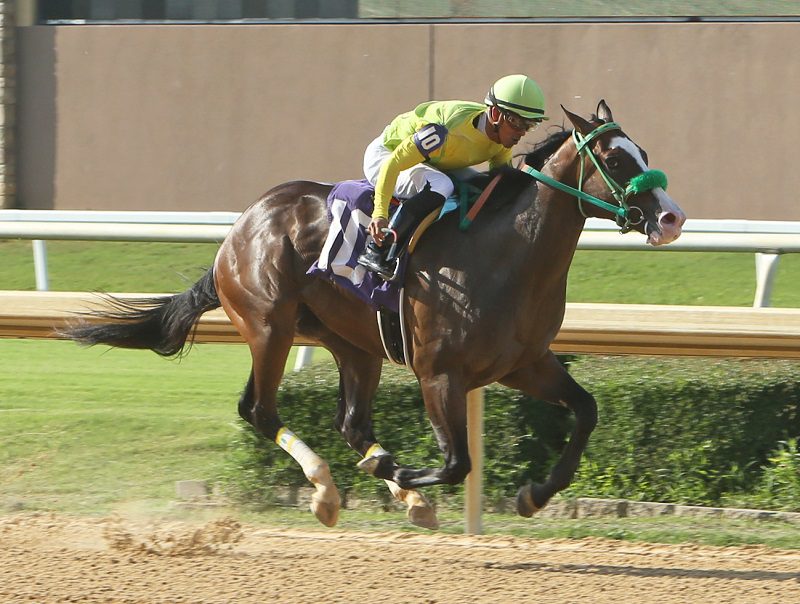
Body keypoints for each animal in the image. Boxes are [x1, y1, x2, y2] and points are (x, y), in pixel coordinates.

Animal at [64, 102, 688, 528]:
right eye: (614, 158)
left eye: (646, 154)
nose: (672, 218)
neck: (507, 254)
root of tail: (242, 226)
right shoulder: (440, 374)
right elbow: (457, 462)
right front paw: (406, 476)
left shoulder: (523, 364)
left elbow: (586, 410)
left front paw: (533, 495)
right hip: (270, 325)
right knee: (258, 410)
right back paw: (328, 492)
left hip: (354, 344)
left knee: (352, 424)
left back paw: (397, 490)